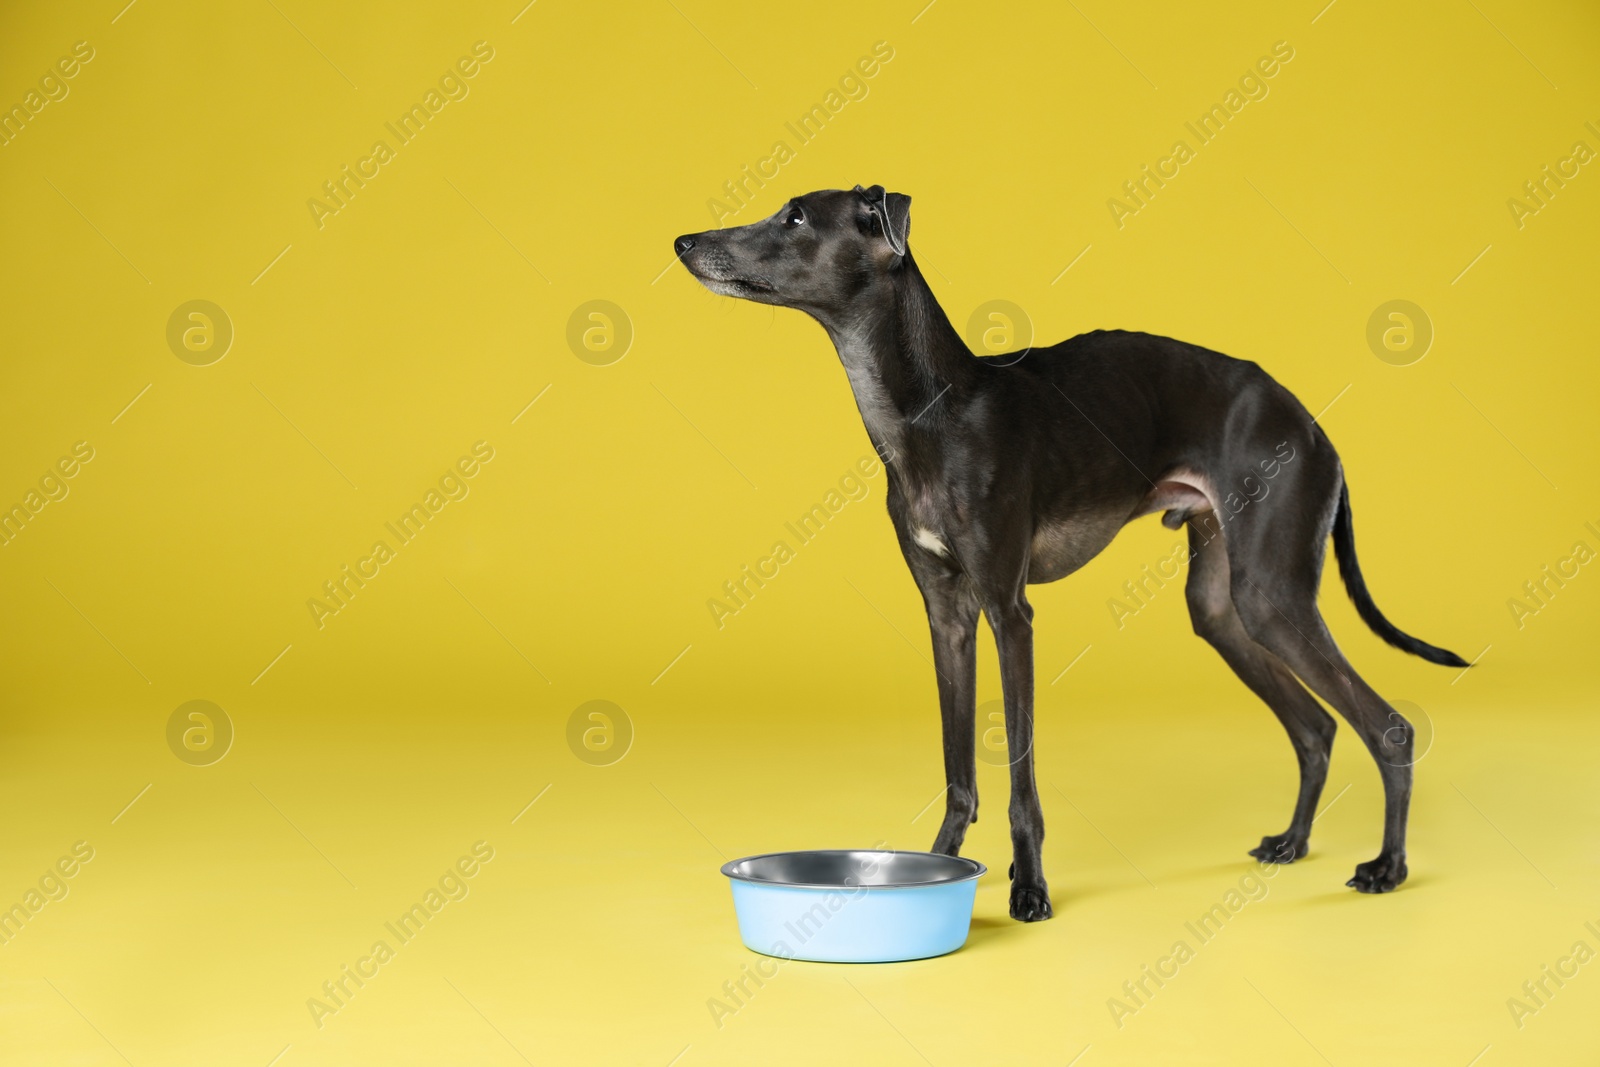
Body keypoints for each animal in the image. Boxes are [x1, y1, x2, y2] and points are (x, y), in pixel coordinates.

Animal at [672, 187, 1465, 921]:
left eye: (796, 217)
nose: (683, 241)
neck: (933, 412)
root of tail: (1313, 426)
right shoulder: (946, 616)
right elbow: (958, 768)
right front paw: (937, 866)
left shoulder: (1008, 611)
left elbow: (1021, 779)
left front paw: (1029, 887)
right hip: (1222, 606)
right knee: (1316, 726)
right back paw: (1293, 841)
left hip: (1271, 591)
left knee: (1386, 726)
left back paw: (1387, 867)